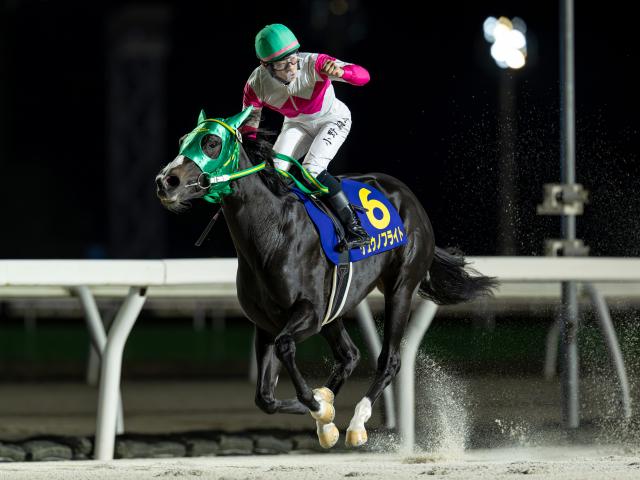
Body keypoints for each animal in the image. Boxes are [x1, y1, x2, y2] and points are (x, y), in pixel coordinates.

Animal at [155, 107, 498, 449]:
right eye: (183, 140)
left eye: (212, 142)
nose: (166, 181)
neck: (272, 232)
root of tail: (408, 198)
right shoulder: (267, 323)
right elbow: (265, 398)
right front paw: (323, 409)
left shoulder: (310, 312)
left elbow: (285, 347)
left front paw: (320, 406)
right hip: (336, 308)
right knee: (349, 355)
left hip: (400, 287)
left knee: (389, 359)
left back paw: (357, 423)